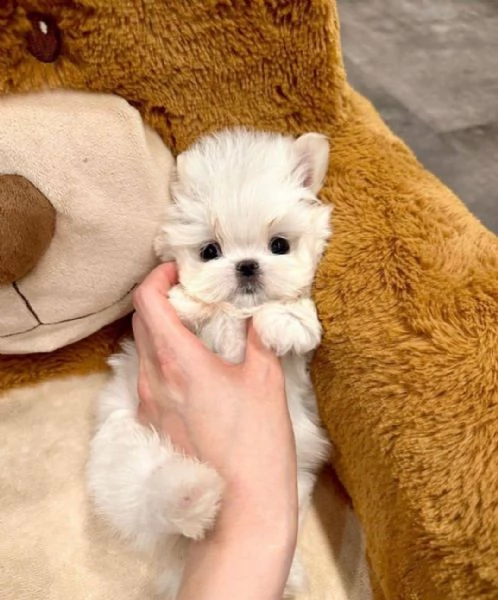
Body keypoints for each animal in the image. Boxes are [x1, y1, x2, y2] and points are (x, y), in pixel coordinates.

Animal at [87, 126, 332, 596]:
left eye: (279, 245)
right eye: (210, 251)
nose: (247, 266)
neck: (238, 315)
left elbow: (292, 314)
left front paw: (289, 320)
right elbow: (195, 306)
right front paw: (186, 302)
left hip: (292, 483)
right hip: (122, 448)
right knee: (143, 491)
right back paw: (190, 493)